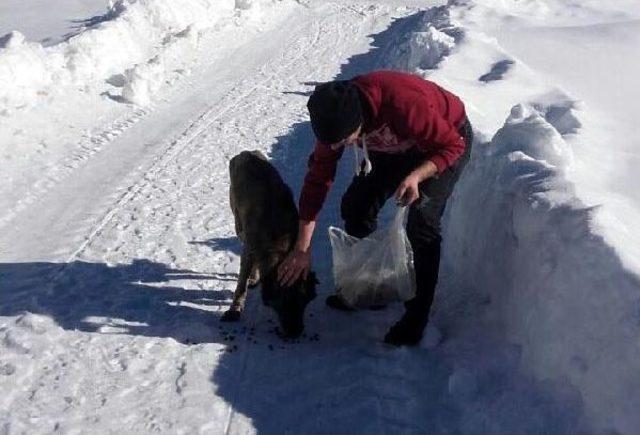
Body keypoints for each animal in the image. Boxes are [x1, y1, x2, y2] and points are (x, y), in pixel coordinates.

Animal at [222, 150, 318, 338]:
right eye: (283, 302)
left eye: (304, 302)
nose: (295, 332)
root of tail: (246, 152)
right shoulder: (249, 249)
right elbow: (241, 284)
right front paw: (235, 309)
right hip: (238, 224)